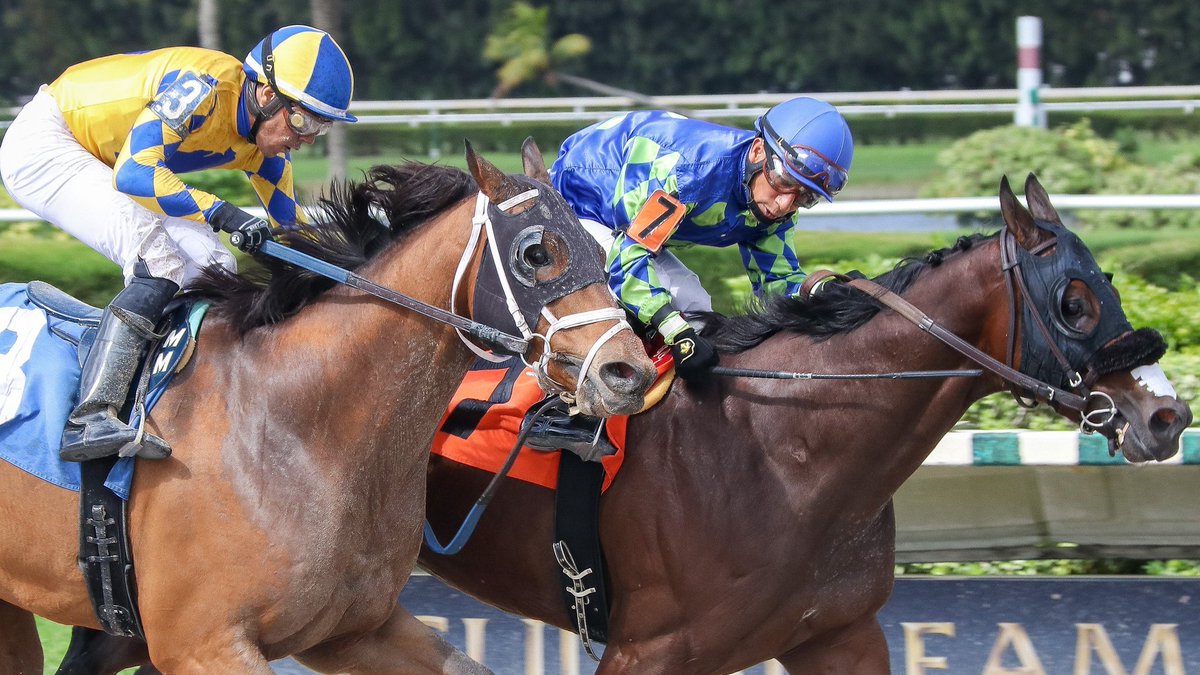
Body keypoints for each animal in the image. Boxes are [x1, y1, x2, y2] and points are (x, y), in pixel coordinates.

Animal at [0, 139, 657, 674]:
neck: (296, 427)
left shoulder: (351, 631)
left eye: (597, 247)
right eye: (536, 253)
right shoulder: (201, 643)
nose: (628, 372)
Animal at [57, 173, 1192, 675]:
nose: (1165, 412)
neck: (788, 448)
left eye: (1103, 285)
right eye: (1075, 300)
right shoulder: (653, 650)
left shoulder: (842, 634)